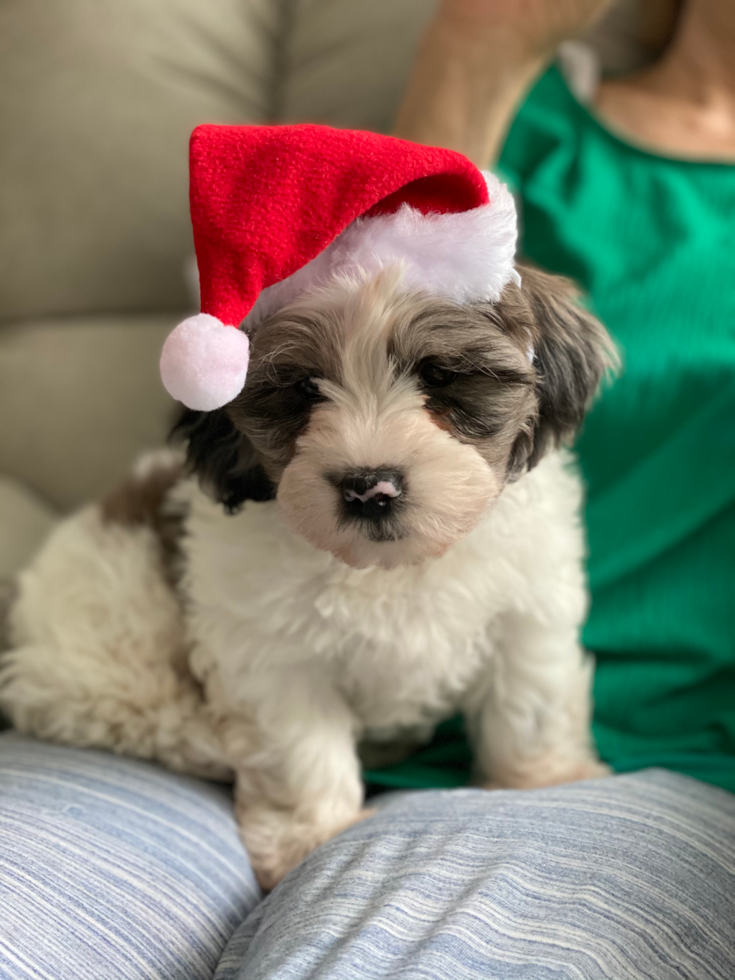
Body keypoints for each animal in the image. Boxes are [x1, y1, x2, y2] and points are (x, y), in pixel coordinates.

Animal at [0, 264, 616, 892]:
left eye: (440, 375)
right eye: (302, 388)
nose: (370, 487)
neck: (388, 567)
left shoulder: (526, 607)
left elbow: (527, 699)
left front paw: (541, 779)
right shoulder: (271, 656)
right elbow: (300, 747)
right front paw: (313, 834)